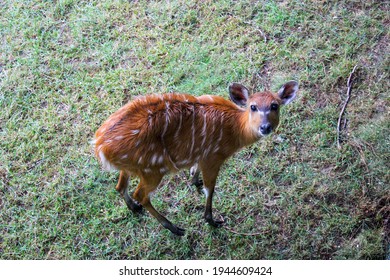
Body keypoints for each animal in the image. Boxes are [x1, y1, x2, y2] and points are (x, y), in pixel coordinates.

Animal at [93, 81, 298, 236]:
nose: (265, 127)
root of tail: (100, 146)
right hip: (152, 169)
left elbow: (195, 173)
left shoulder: (201, 157)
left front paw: (194, 182)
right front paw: (212, 220)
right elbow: (210, 189)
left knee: (120, 185)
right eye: (252, 106)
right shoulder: (213, 157)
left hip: (133, 167)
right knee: (140, 194)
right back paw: (175, 228)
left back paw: (135, 208)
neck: (234, 129)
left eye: (275, 105)